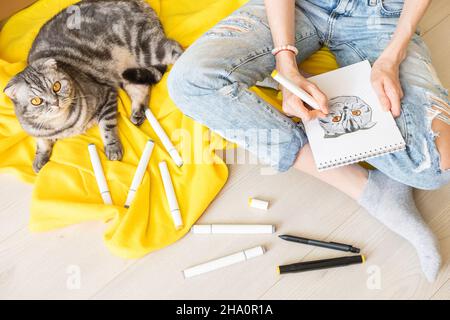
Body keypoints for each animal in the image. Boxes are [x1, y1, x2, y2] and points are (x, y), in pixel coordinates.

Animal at [3, 0, 183, 172]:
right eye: (36, 101)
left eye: (56, 86)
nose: (55, 102)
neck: (63, 126)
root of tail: (138, 2)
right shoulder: (37, 132)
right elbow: (41, 142)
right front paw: (39, 159)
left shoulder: (107, 94)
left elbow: (107, 126)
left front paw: (113, 148)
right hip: (126, 73)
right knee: (143, 87)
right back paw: (138, 112)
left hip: (145, 48)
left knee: (176, 49)